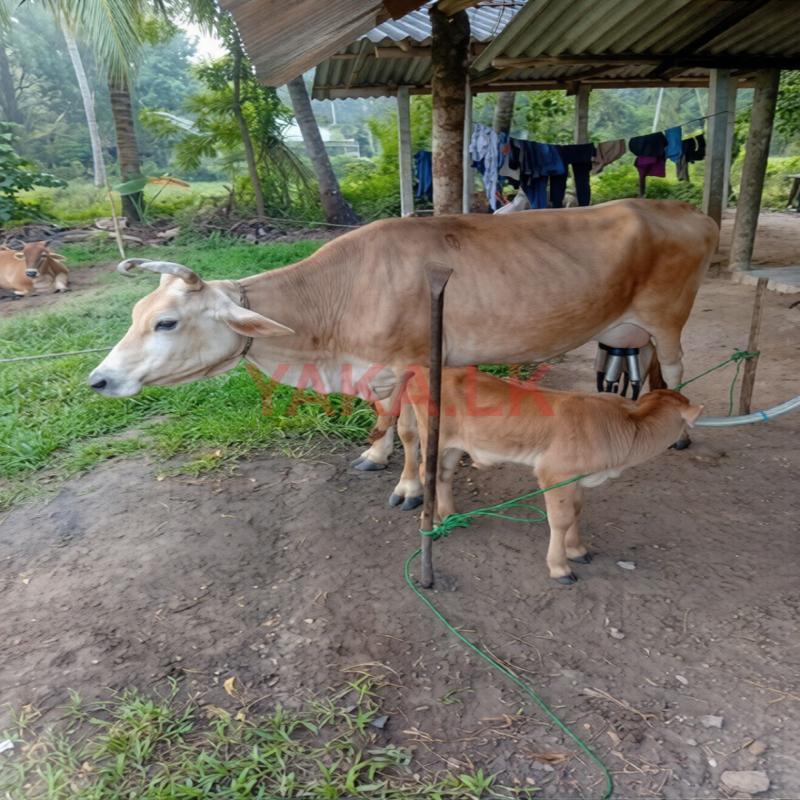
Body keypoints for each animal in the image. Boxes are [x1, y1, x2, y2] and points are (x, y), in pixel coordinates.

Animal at [88, 199, 719, 509]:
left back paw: (681, 433)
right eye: (136, 314)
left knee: (678, 364)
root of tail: (687, 209)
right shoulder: (381, 370)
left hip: (669, 314)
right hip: (635, 326)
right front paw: (376, 453)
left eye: (167, 322)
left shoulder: (415, 363)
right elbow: (385, 416)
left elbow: (416, 431)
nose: (99, 380)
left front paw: (412, 486)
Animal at [402, 366, 703, 584]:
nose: (683, 440)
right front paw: (560, 568)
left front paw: (577, 550)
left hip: (456, 445)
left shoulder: (576, 478)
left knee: (443, 475)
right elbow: (560, 520)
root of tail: (424, 372)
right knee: (426, 471)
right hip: (434, 437)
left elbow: (576, 511)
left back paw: (450, 515)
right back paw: (434, 520)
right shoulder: (554, 473)